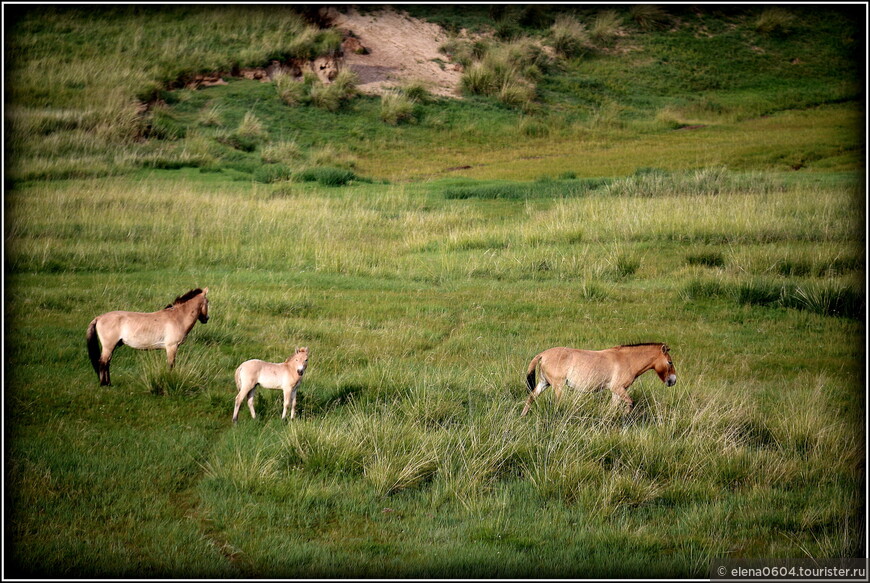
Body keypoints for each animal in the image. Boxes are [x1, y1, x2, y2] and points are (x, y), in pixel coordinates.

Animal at [520, 344, 676, 418]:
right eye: (670, 362)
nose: (673, 381)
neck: (627, 360)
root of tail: (543, 354)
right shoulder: (618, 388)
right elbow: (630, 403)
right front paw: (625, 417)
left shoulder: (616, 392)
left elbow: (612, 408)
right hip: (558, 386)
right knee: (557, 403)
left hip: (544, 383)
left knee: (531, 397)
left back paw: (523, 416)